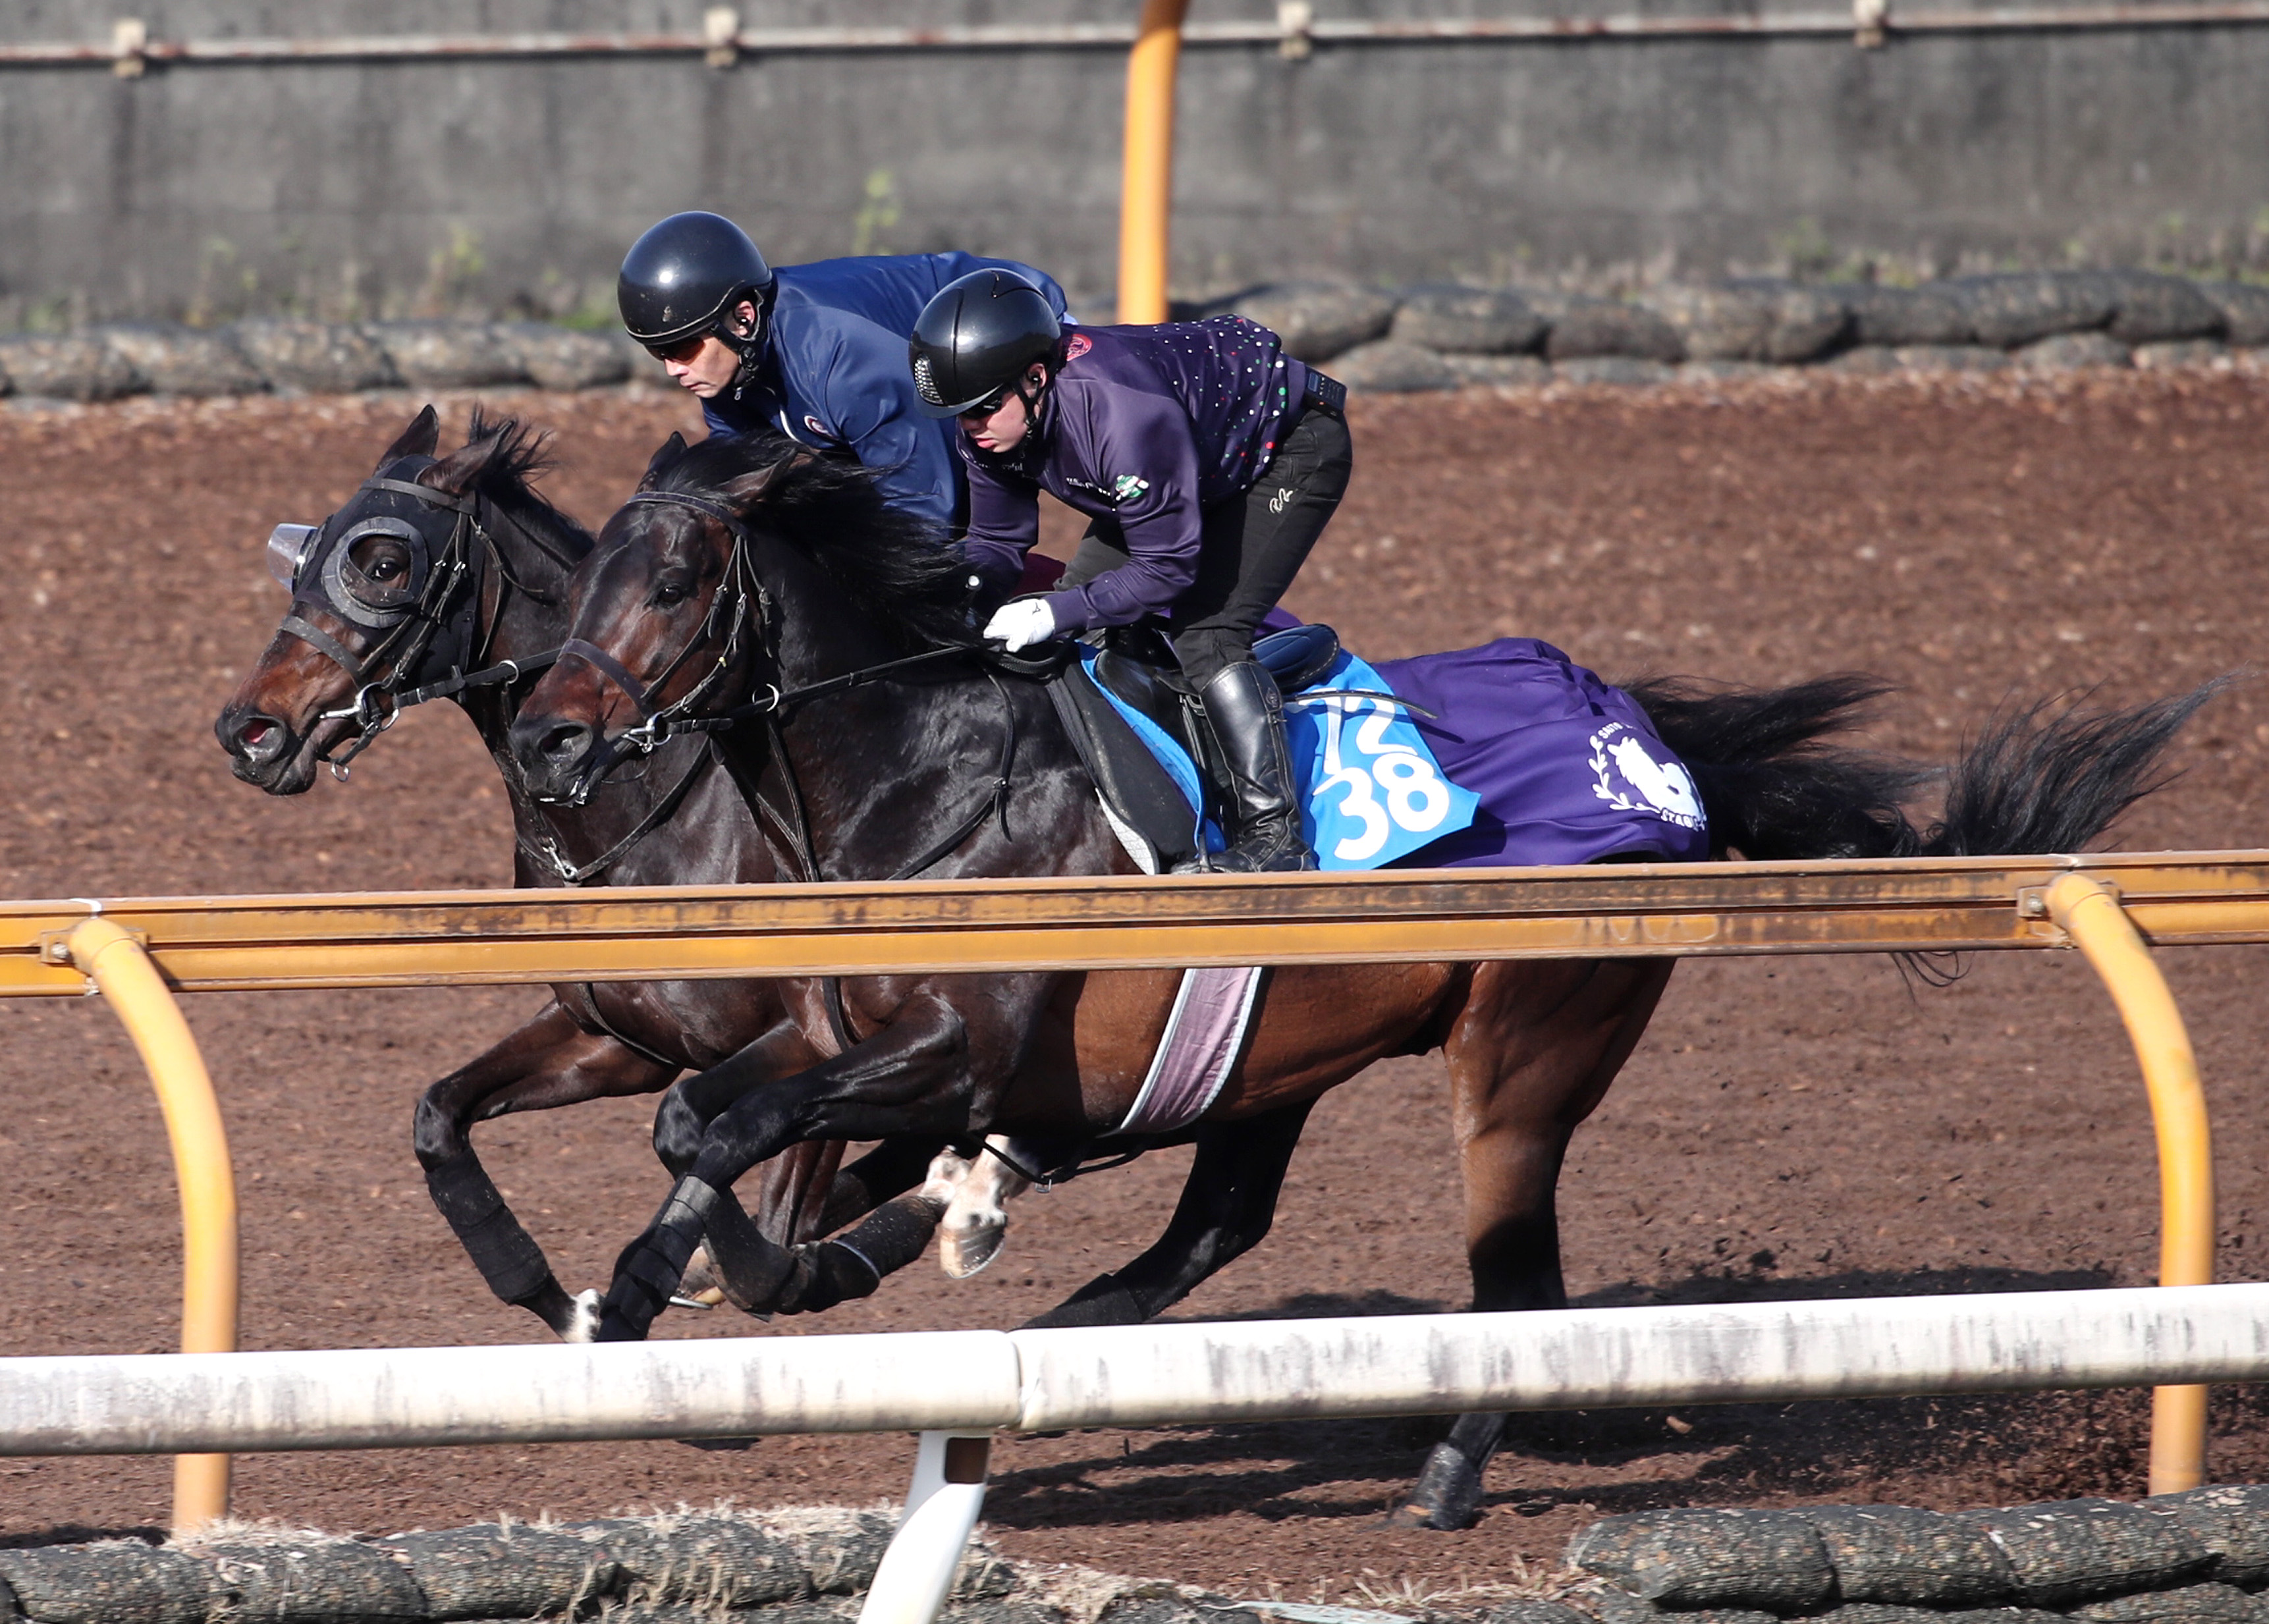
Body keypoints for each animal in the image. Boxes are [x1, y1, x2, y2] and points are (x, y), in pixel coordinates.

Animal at [504, 427, 2210, 1527]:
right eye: (578, 576)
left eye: (671, 578)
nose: (549, 738)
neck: (924, 786)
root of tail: (1657, 751)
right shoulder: (842, 1046)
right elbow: (724, 1147)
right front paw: (733, 1271)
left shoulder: (956, 1054)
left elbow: (734, 1140)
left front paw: (688, 1281)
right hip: (1277, 1059)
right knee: (1216, 1226)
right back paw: (1072, 1344)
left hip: (1521, 1066)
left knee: (1512, 1285)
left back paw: (1445, 1476)